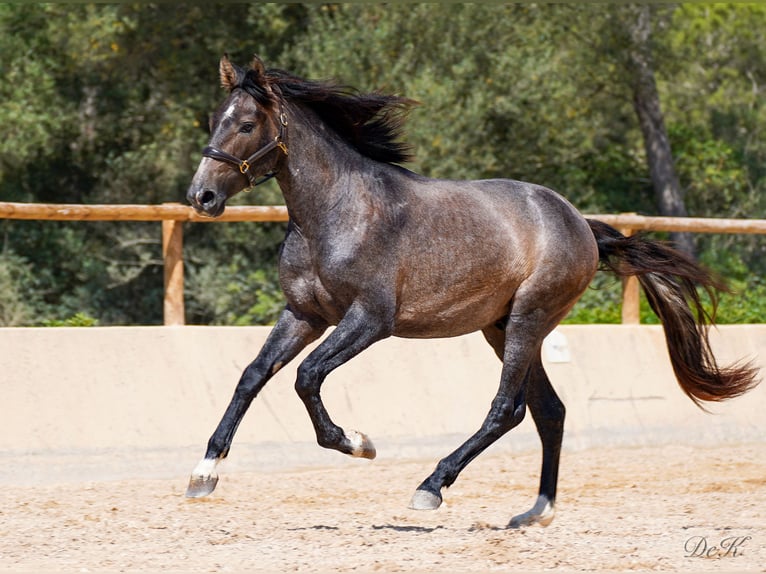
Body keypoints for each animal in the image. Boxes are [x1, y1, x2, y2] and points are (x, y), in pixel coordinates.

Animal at [185, 55, 759, 527]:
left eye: (246, 124)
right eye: (214, 120)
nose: (201, 196)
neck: (337, 212)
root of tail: (579, 223)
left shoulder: (370, 320)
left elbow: (306, 377)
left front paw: (359, 444)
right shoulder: (304, 314)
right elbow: (253, 375)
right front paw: (204, 473)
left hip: (527, 320)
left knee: (508, 408)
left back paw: (431, 487)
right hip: (500, 328)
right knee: (549, 411)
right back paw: (536, 512)